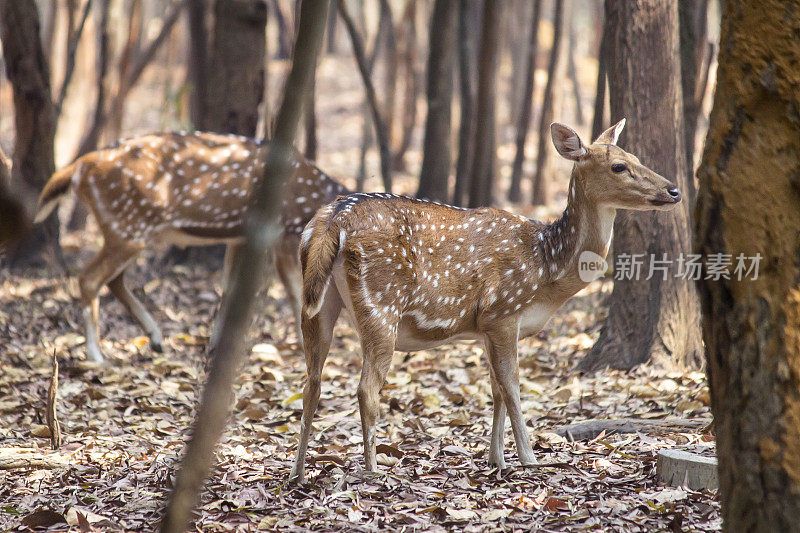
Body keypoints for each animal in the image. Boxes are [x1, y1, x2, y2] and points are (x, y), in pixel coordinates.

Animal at [34, 132, 348, 362]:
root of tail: (80, 169)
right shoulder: (281, 230)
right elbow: (296, 291)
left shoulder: (240, 236)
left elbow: (229, 289)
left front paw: (216, 344)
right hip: (128, 227)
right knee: (89, 278)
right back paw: (97, 355)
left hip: (129, 230)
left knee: (113, 279)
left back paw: (156, 340)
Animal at [290, 117, 684, 478]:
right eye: (619, 166)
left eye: (635, 156)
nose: (674, 191)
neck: (548, 268)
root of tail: (334, 218)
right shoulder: (504, 311)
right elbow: (512, 387)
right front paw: (528, 458)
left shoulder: (485, 326)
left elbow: (495, 389)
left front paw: (497, 459)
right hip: (381, 303)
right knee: (366, 389)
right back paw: (373, 470)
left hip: (315, 302)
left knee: (312, 383)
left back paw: (298, 473)